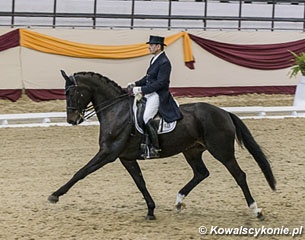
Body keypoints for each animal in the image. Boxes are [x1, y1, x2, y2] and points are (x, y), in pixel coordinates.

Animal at [48, 70, 276, 220]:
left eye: (71, 93)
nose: (72, 120)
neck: (116, 111)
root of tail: (224, 113)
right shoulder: (126, 158)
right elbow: (140, 183)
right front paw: (150, 210)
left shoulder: (108, 153)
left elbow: (81, 172)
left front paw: (55, 195)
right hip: (192, 150)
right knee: (201, 173)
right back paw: (179, 201)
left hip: (222, 151)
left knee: (239, 175)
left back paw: (256, 210)